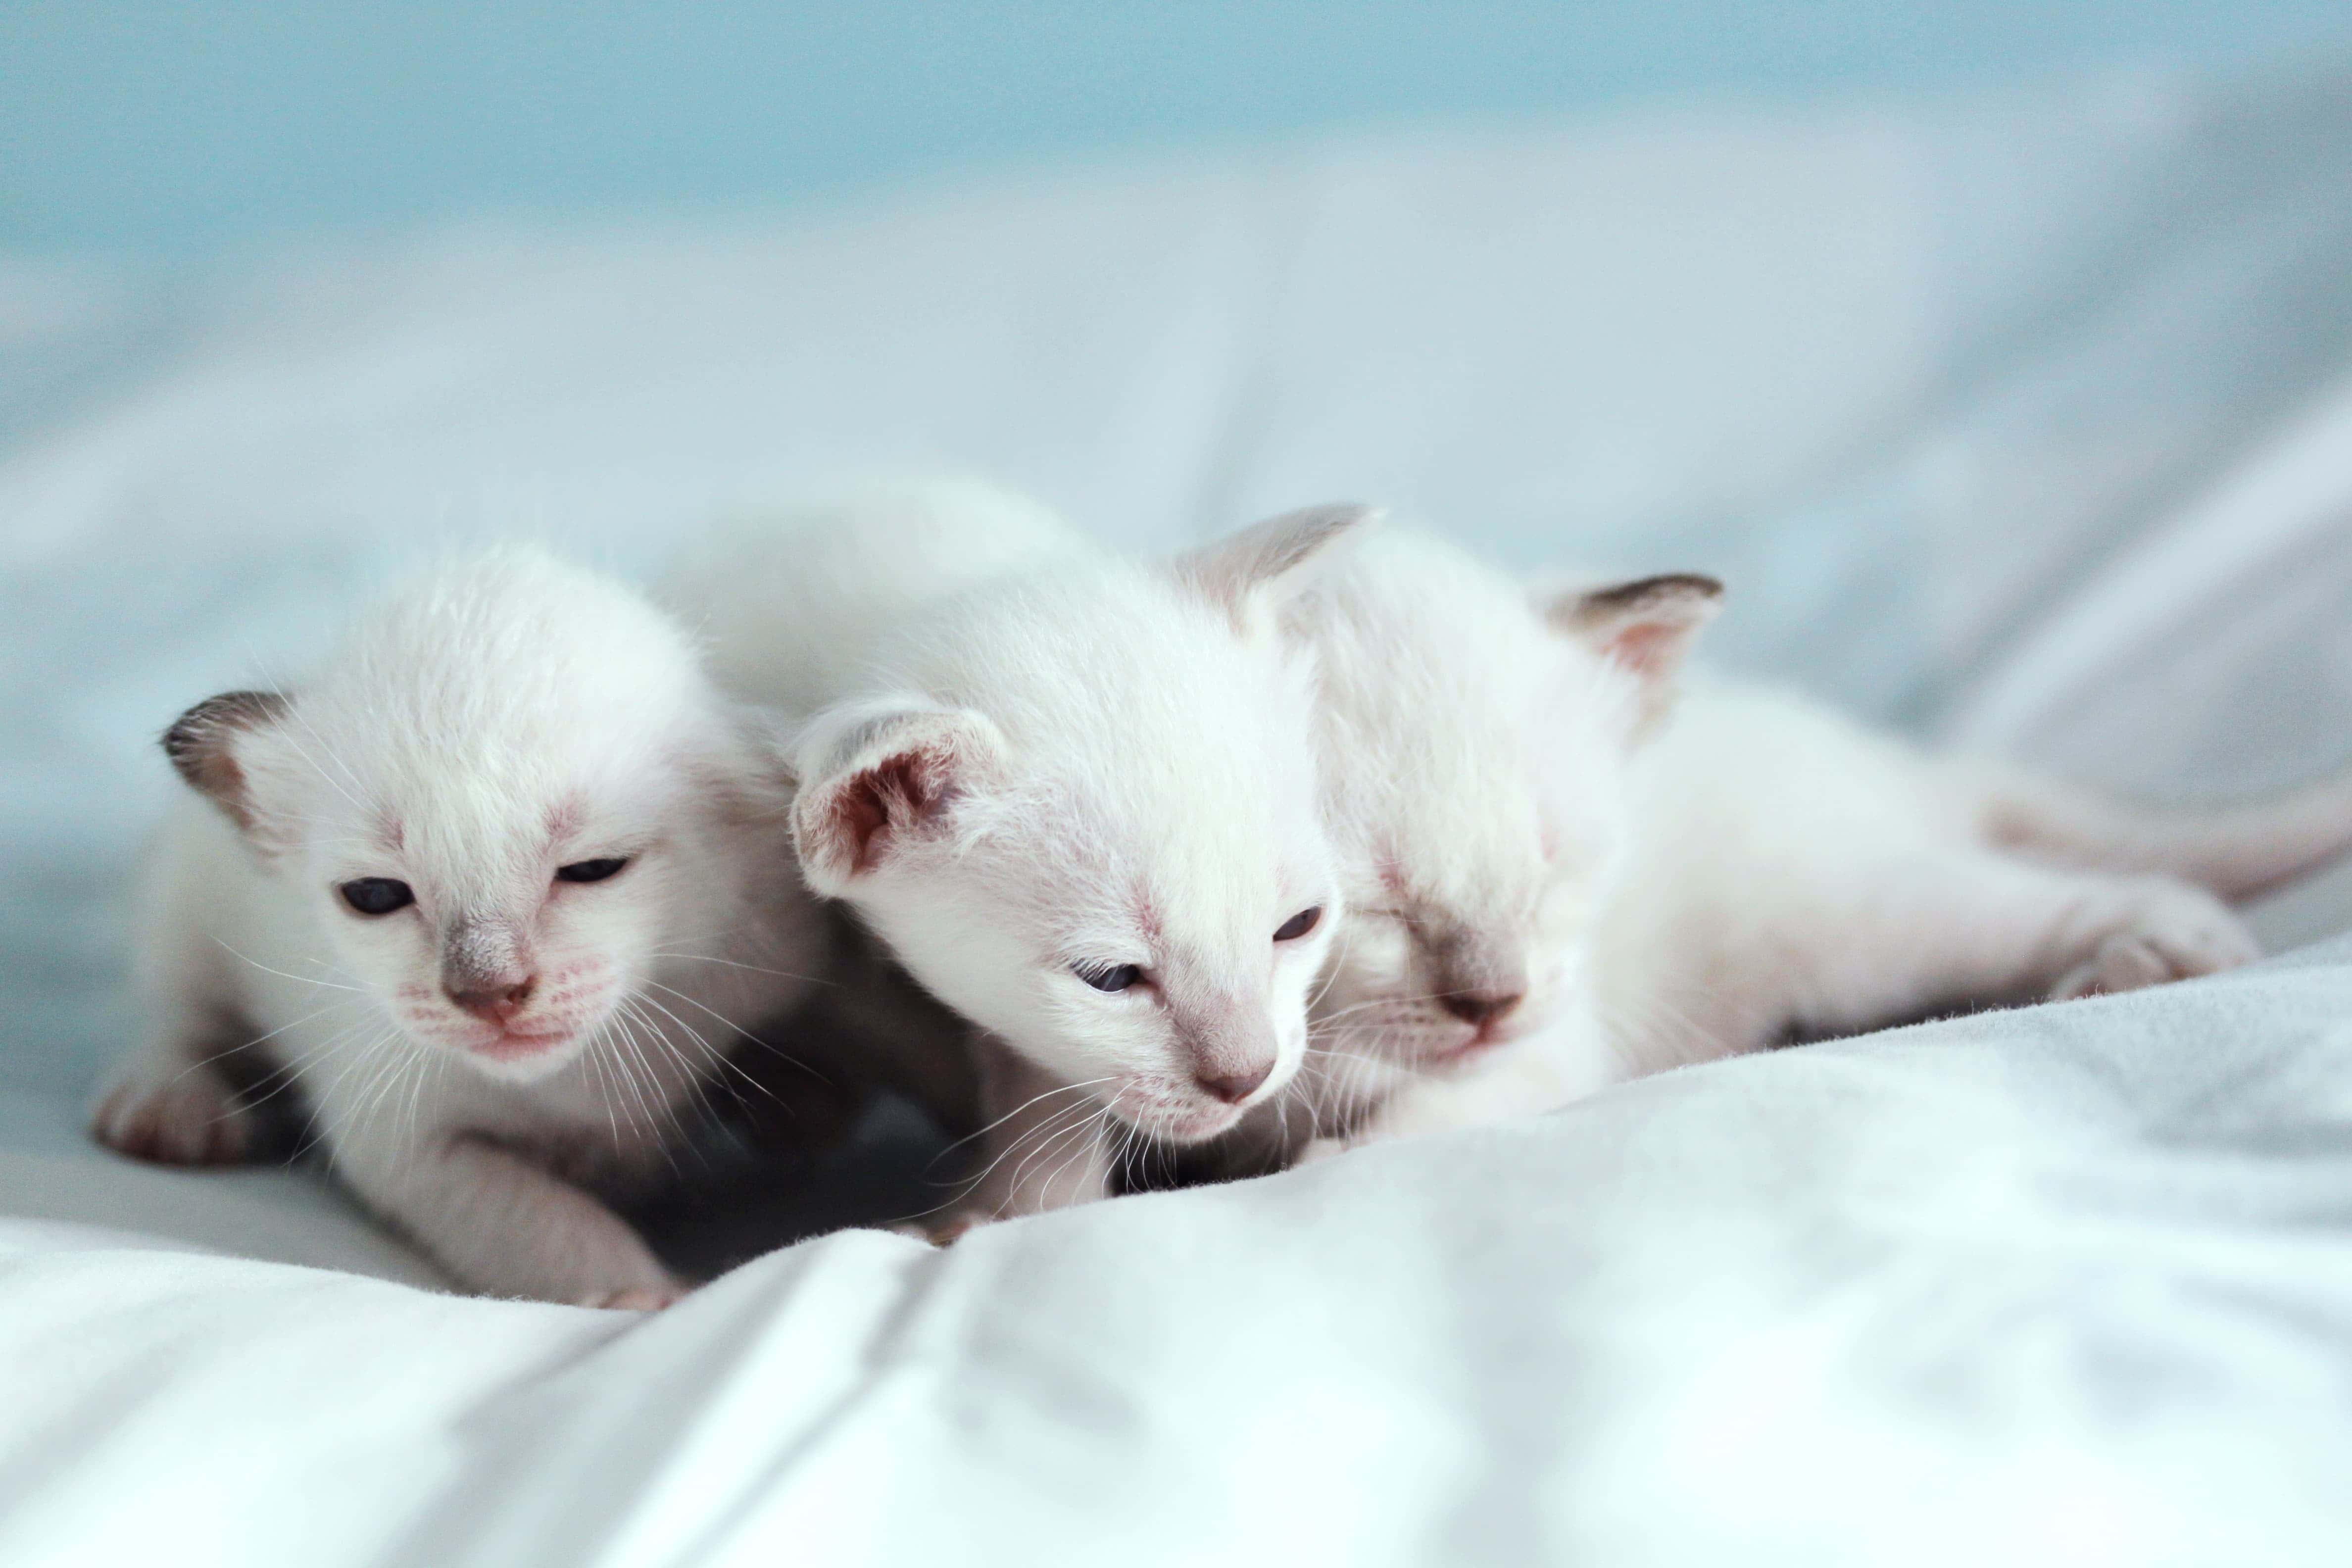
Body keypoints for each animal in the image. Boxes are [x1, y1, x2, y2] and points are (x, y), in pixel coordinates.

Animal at [92, 545, 828, 1307]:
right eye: (375, 894)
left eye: (593, 869)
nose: (489, 993)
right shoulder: (404, 1145)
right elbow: (539, 1219)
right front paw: (640, 1295)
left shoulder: (779, 969)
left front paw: (800, 1107)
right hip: (183, 908)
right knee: (181, 1013)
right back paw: (166, 1105)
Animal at [1279, 534, 2352, 1161]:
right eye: (1371, 901)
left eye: (1553, 868)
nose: (1491, 1002)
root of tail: (1902, 763)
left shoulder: (1557, 1037)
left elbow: (1407, 1131)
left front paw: (1330, 1162)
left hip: (1860, 922)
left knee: (2081, 893)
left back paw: (2158, 951)